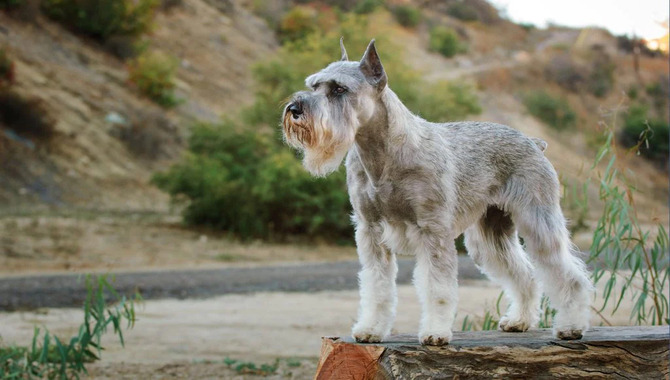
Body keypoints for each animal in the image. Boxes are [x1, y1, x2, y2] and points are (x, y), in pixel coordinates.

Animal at [282, 39, 592, 348]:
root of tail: (533, 141)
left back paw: (571, 326)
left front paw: (435, 333)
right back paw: (519, 321)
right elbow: (376, 286)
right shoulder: (370, 230)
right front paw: (370, 329)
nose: (294, 108)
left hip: (538, 221)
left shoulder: (432, 229)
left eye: (339, 89)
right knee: (524, 274)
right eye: (314, 86)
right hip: (490, 234)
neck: (383, 154)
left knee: (568, 275)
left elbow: (438, 288)